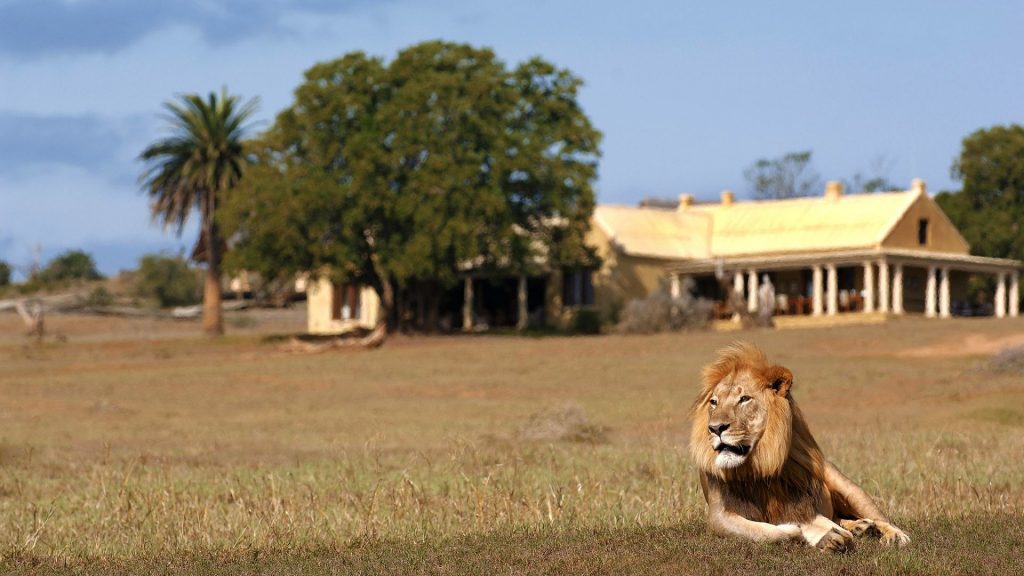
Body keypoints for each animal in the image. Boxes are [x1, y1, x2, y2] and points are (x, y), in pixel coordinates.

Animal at [690, 342, 910, 552]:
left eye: (744, 399)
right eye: (714, 402)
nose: (715, 428)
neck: (759, 464)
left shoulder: (800, 504)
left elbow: (815, 522)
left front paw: (827, 535)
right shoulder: (719, 516)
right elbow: (764, 532)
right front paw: (813, 536)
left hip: (848, 488)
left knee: (879, 517)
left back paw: (893, 535)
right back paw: (860, 527)